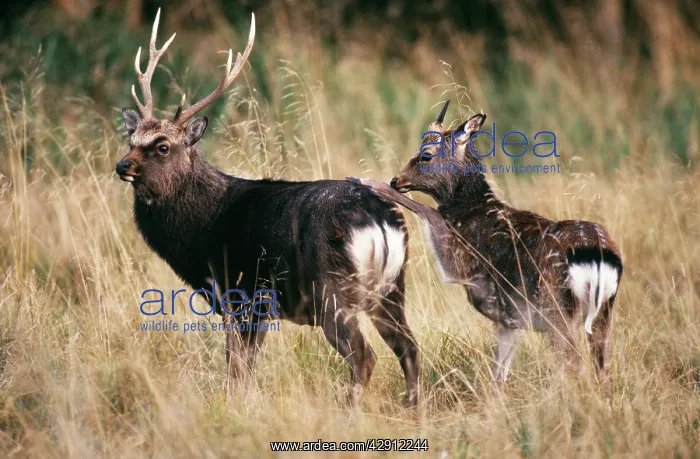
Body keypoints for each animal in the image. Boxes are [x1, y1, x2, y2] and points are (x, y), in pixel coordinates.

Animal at [115, 9, 419, 408]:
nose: (122, 165)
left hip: (330, 291)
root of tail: (381, 221)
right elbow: (246, 365)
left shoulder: (239, 292)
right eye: (132, 139)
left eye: (163, 146)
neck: (204, 225)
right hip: (392, 288)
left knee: (364, 355)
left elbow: (237, 366)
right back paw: (415, 411)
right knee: (409, 349)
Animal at [348, 100, 623, 392]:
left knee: (575, 366)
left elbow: (427, 211)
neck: (472, 209)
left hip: (556, 311)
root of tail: (598, 258)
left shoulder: (458, 260)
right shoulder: (510, 320)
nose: (395, 180)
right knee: (602, 367)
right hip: (604, 314)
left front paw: (363, 180)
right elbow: (498, 373)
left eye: (426, 155)